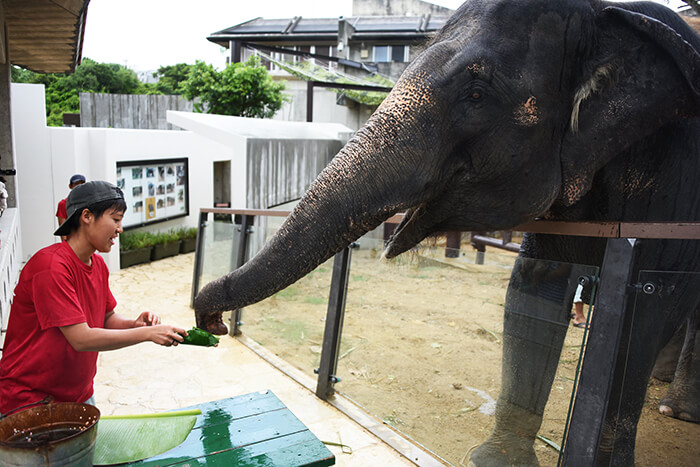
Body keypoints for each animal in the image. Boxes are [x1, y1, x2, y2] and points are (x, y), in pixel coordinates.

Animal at [193, 1, 700, 466]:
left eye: (476, 94)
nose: (212, 323)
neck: (605, 13)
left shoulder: (674, 178)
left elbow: (649, 305)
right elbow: (537, 282)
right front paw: (496, 461)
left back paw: (674, 407)